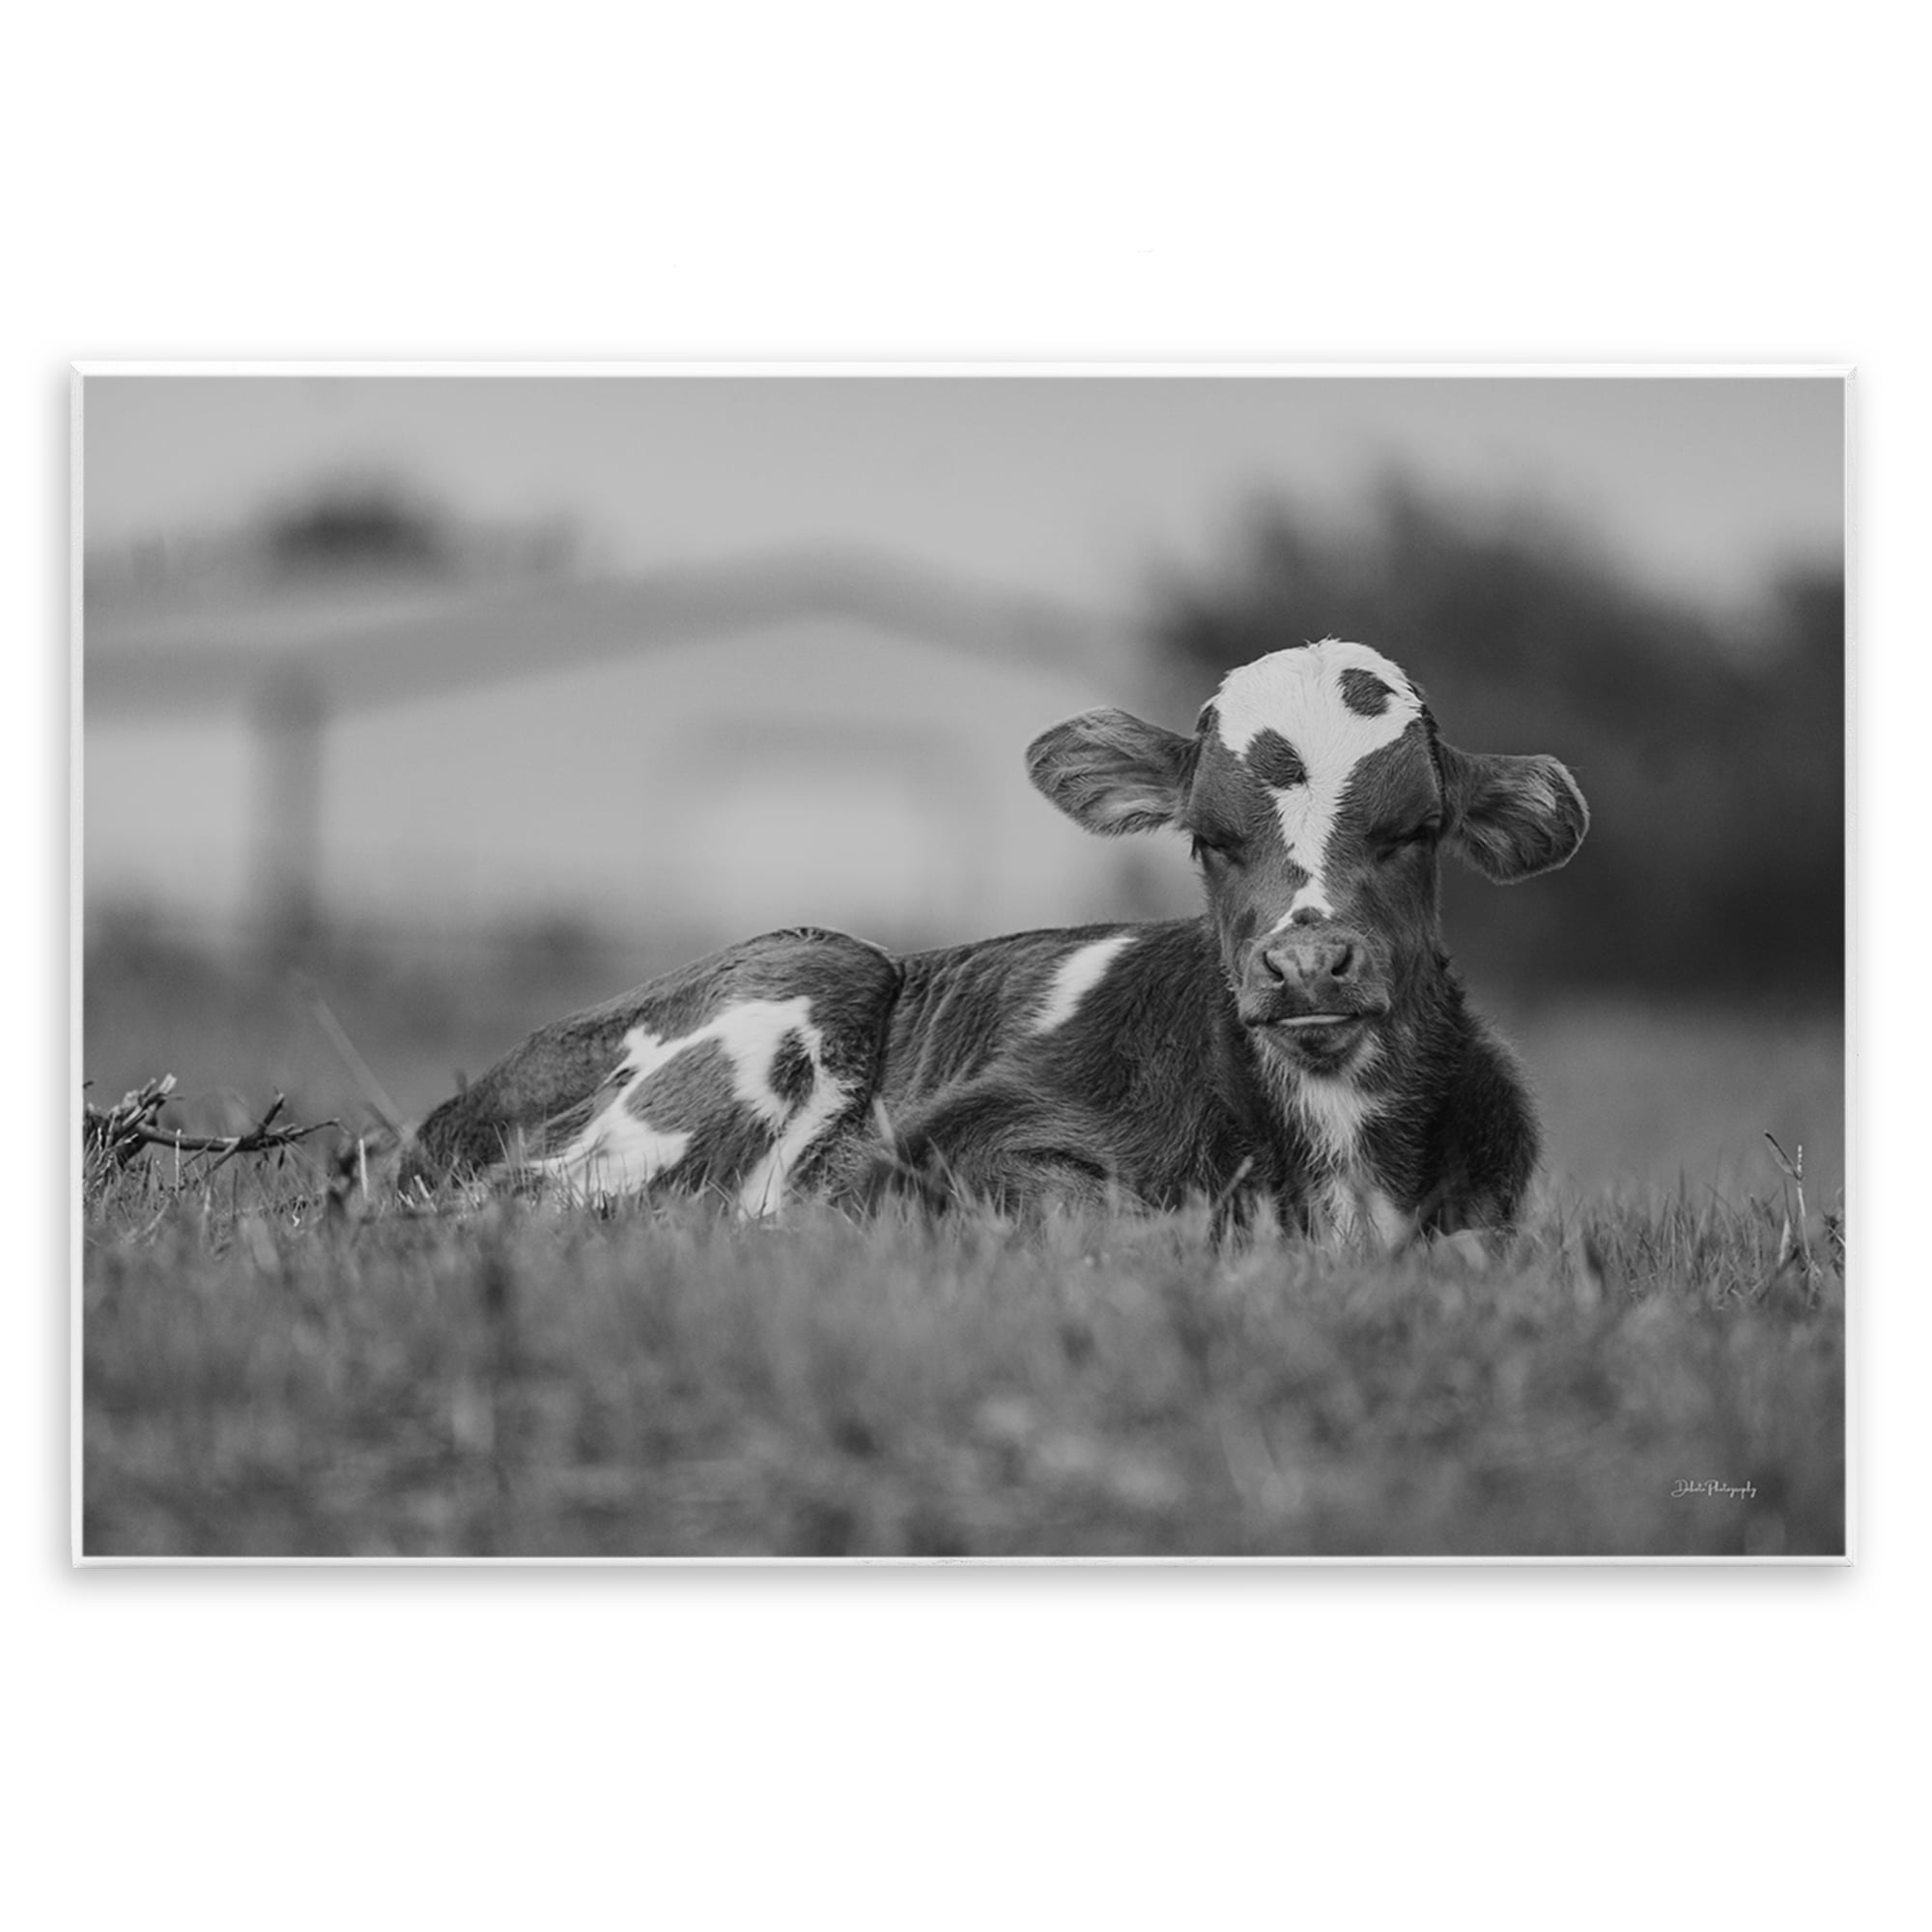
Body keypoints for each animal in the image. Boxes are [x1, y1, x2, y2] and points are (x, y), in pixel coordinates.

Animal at [391, 640, 1587, 1243]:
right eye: (1206, 836)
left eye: (1416, 828)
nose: (1305, 965)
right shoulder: (956, 1139)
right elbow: (1108, 1220)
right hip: (809, 970)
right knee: (508, 1204)